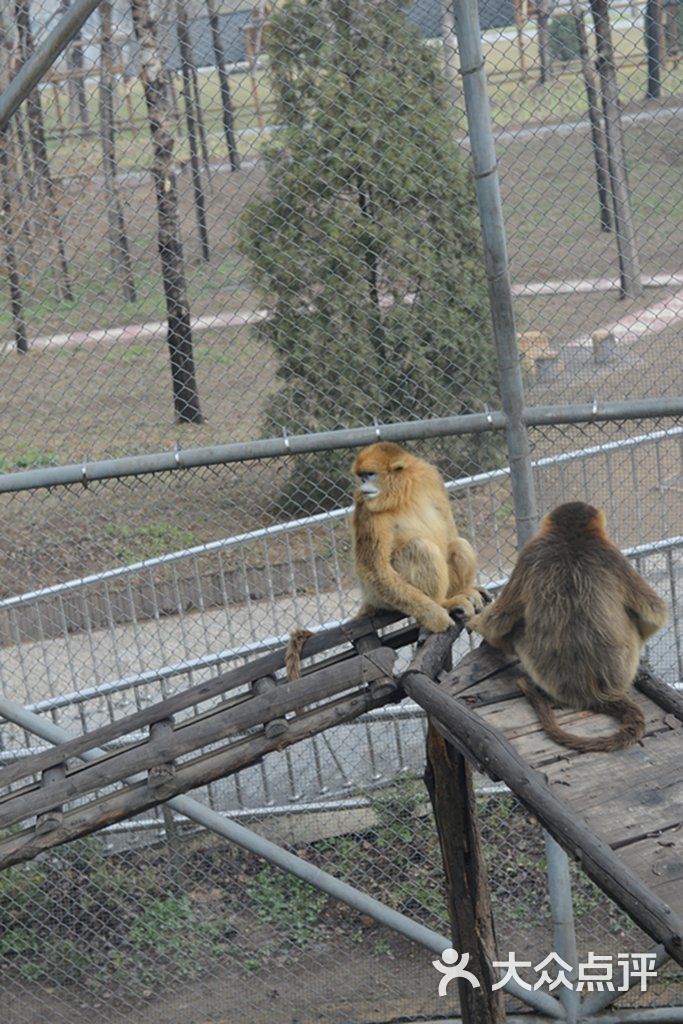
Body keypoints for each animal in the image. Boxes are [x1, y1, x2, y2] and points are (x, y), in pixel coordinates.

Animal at [350, 440, 489, 630]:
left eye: (369, 475)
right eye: (362, 477)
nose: (362, 486)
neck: (402, 491)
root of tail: (368, 597)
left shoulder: (430, 476)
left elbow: (449, 532)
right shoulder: (366, 507)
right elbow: (374, 569)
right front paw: (436, 616)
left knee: (459, 545)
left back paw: (460, 592)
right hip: (380, 596)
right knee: (420, 546)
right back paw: (442, 603)